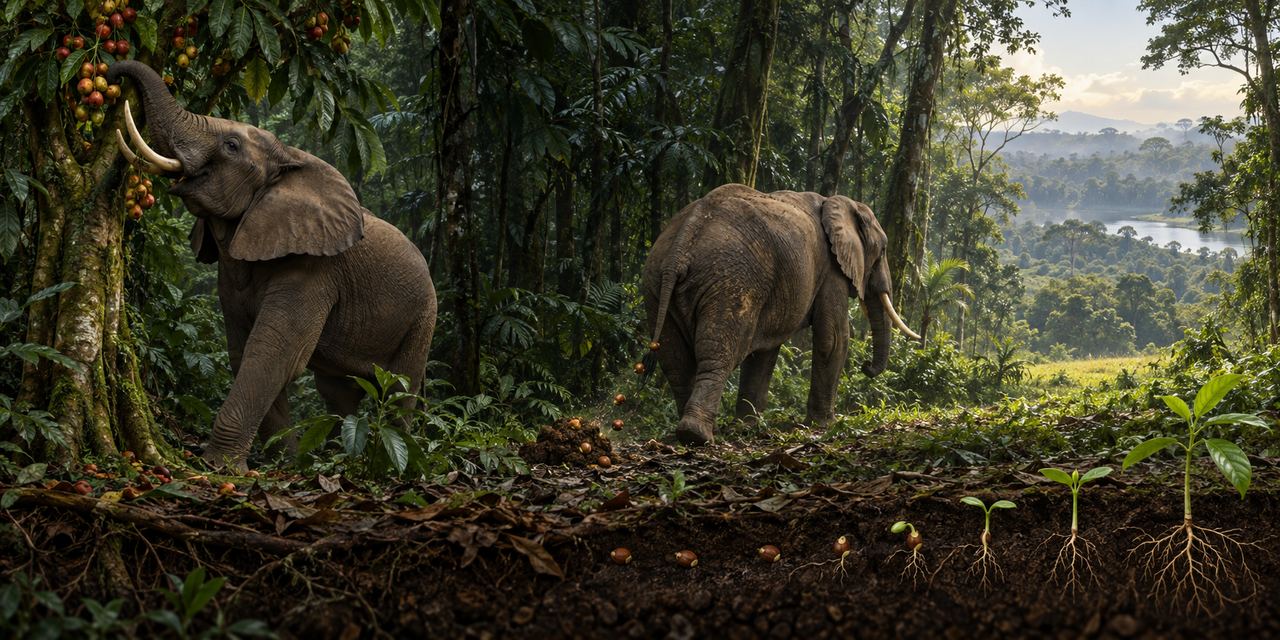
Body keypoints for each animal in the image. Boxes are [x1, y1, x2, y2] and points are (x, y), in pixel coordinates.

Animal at [107, 61, 437, 471]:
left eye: (231, 146)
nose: (114, 72)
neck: (287, 157)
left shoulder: (315, 269)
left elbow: (274, 351)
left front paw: (219, 467)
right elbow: (243, 348)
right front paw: (288, 463)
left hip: (423, 316)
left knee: (400, 385)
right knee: (339, 391)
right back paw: (335, 456)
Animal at [641, 183, 919, 445]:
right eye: (882, 251)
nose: (866, 367)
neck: (836, 202)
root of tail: (682, 243)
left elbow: (764, 351)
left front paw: (746, 427)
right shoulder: (831, 270)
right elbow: (833, 339)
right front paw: (825, 425)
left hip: (656, 286)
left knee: (676, 363)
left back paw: (695, 432)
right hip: (731, 282)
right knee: (719, 353)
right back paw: (697, 435)